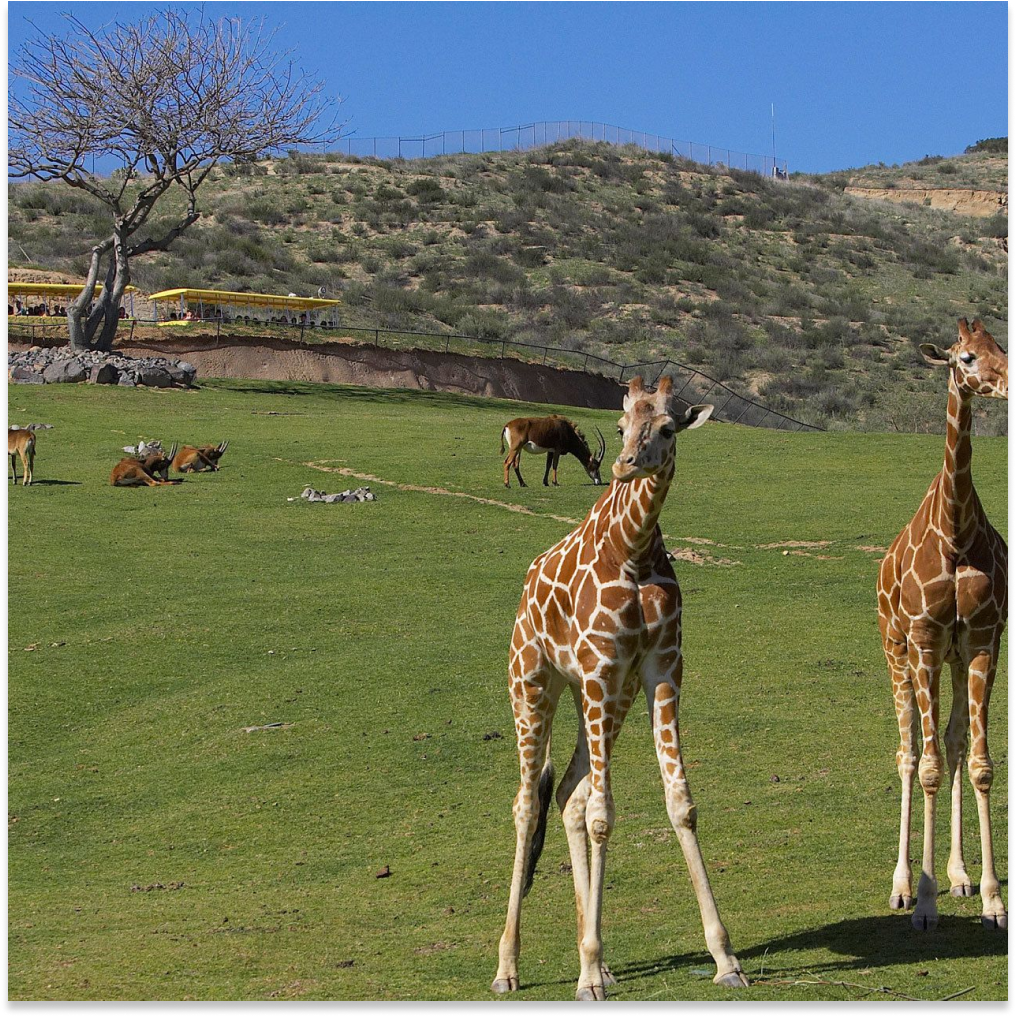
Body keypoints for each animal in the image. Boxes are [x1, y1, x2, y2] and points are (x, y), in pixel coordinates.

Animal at [491, 376, 747, 1000]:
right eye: (622, 422)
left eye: (669, 428)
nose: (625, 464)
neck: (631, 549)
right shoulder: (602, 667)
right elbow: (606, 815)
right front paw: (585, 974)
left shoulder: (660, 667)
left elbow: (680, 803)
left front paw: (725, 957)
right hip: (534, 681)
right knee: (527, 804)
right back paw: (509, 966)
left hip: (607, 696)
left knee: (569, 794)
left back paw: (599, 959)